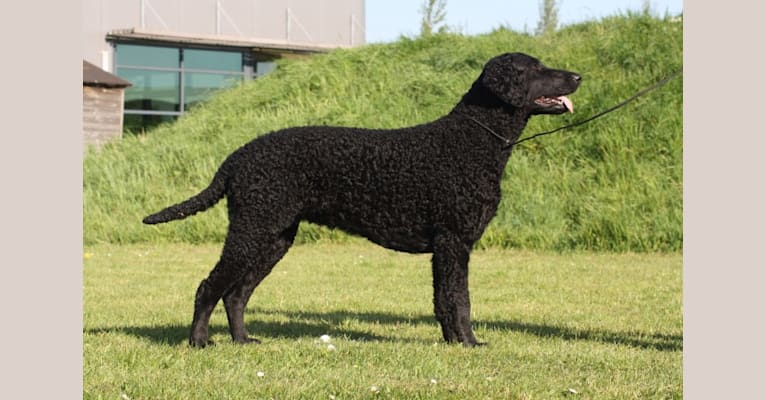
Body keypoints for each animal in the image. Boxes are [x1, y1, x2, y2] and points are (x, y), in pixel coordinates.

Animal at [146, 52, 584, 346]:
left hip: (274, 237)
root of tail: (237, 157)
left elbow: (442, 299)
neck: (471, 139)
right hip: (252, 229)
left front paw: (452, 343)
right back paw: (200, 341)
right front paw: (470, 343)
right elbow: (459, 300)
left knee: (236, 293)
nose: (578, 76)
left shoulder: (446, 248)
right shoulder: (454, 241)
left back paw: (243, 340)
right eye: (535, 69)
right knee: (209, 287)